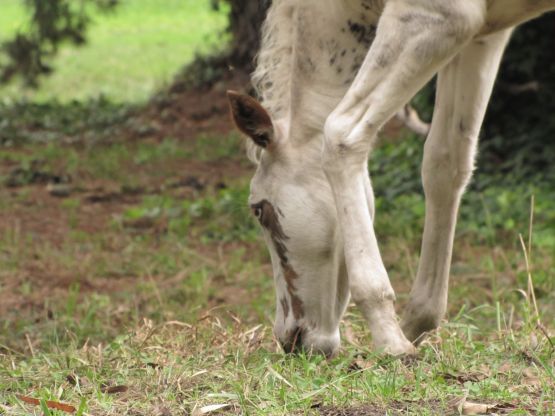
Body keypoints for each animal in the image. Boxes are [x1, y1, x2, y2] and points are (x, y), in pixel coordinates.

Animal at [227, 0, 555, 358]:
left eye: (259, 210)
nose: (290, 339)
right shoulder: (483, 37)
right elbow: (446, 160)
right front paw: (415, 325)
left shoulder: (436, 18)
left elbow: (342, 133)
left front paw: (390, 340)